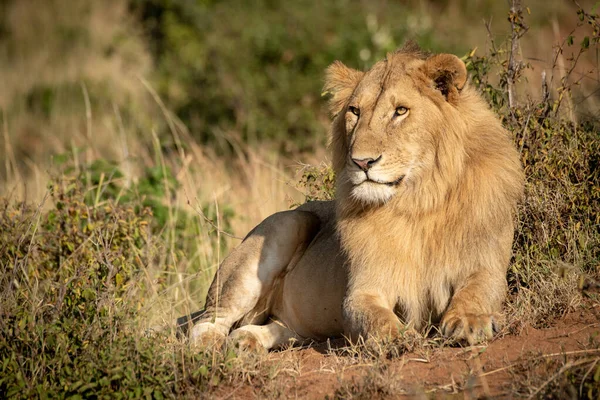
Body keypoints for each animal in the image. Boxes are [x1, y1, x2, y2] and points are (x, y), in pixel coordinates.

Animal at [179, 44, 524, 350]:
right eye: (355, 112)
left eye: (400, 111)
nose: (362, 162)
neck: (418, 201)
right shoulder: (364, 289)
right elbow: (373, 316)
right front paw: (395, 337)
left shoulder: (486, 263)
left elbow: (478, 290)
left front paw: (469, 321)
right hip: (287, 224)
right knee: (205, 323)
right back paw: (213, 348)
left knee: (276, 328)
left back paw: (247, 341)